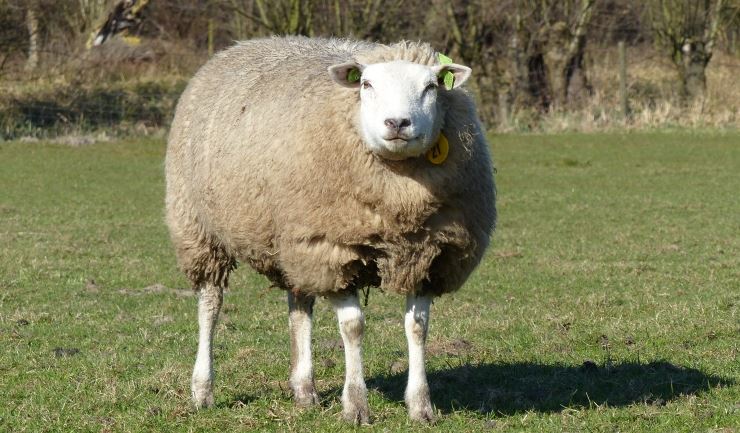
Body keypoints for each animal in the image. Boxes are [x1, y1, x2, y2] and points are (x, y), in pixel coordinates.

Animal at [163, 36, 498, 422]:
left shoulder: (430, 257)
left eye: (431, 86)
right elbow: (353, 327)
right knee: (210, 305)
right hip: (200, 230)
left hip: (293, 240)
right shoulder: (333, 250)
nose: (397, 122)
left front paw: (421, 406)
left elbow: (417, 328)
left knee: (299, 306)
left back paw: (304, 389)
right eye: (366, 84)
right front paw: (356, 405)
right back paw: (203, 390)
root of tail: (238, 46)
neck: (399, 201)